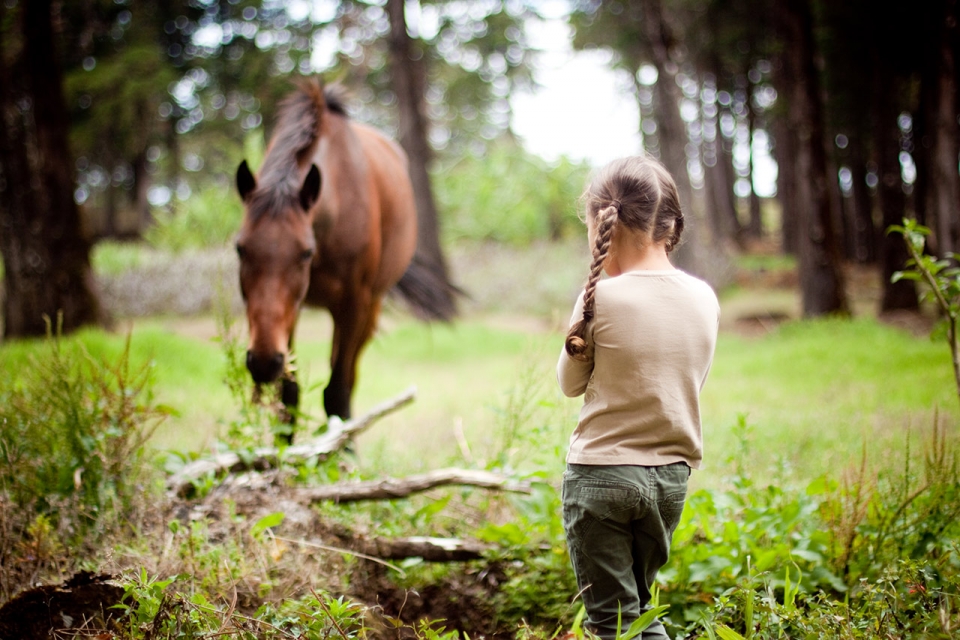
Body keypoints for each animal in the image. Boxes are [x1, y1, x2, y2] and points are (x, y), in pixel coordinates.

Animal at [236, 77, 454, 438]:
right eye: (240, 249)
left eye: (305, 253)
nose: (264, 362)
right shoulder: (288, 311)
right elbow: (289, 394)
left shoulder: (353, 306)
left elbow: (337, 392)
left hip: (369, 310)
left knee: (348, 381)